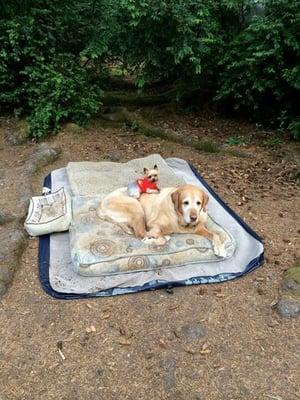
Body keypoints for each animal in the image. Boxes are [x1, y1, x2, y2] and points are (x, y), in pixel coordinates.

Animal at [97, 184, 226, 256]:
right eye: (186, 203)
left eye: (199, 203)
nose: (194, 218)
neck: (179, 219)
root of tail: (100, 206)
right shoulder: (153, 224)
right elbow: (161, 239)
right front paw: (152, 240)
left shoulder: (199, 228)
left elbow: (215, 235)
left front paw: (220, 248)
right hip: (136, 207)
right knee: (140, 233)